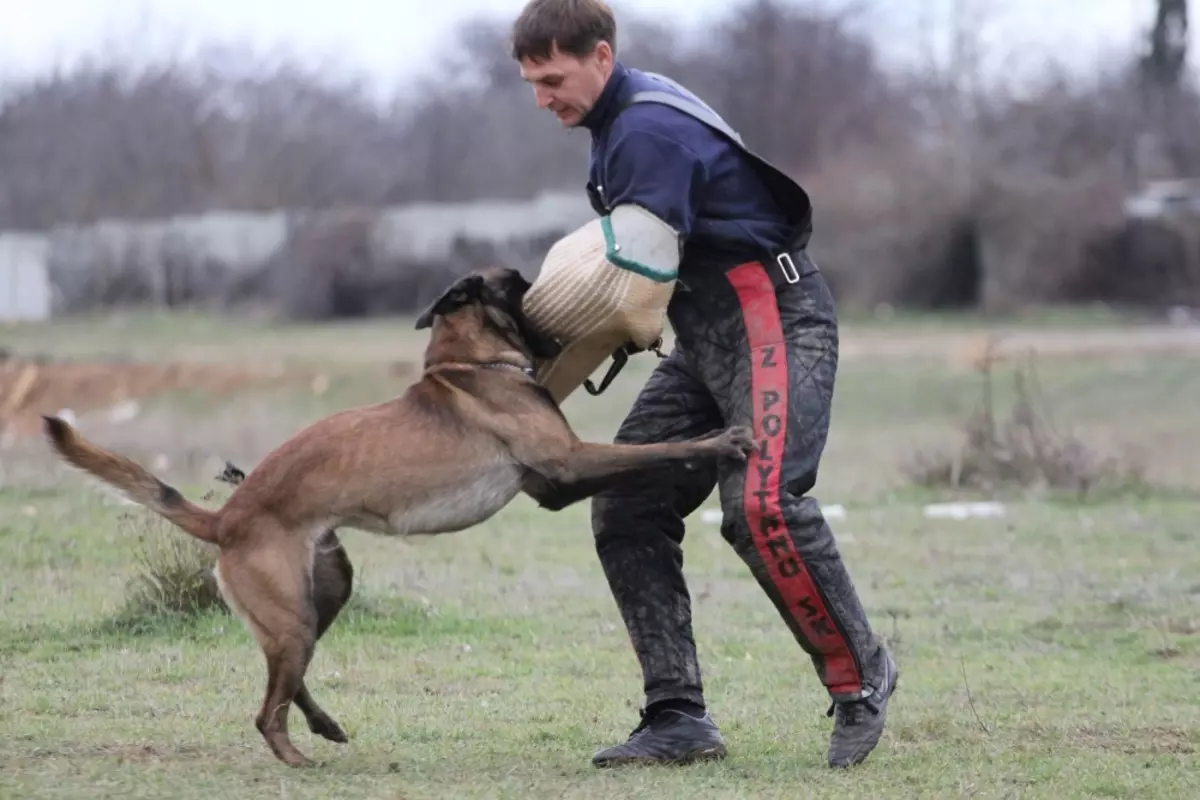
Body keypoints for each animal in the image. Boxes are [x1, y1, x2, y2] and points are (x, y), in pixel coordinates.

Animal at [42, 267, 753, 767]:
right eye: (522, 285)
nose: (567, 310)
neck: (471, 363)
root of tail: (228, 518)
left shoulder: (550, 486)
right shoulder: (571, 463)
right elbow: (655, 450)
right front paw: (721, 439)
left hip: (324, 591)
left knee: (288, 676)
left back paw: (323, 726)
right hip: (293, 609)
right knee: (268, 708)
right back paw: (297, 757)